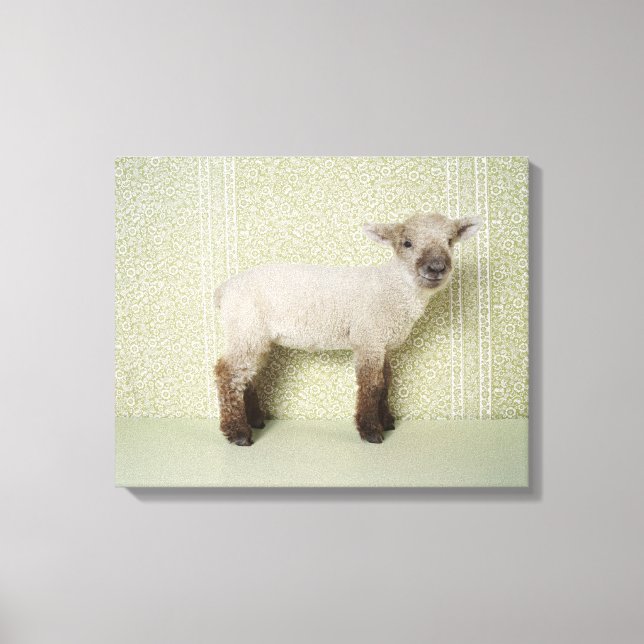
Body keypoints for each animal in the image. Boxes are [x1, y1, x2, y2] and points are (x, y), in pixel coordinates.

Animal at [214, 212, 480, 445]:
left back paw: (256, 419)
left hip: (256, 336)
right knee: (228, 373)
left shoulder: (382, 344)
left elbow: (386, 382)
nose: (436, 267)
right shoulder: (368, 338)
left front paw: (386, 421)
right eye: (407, 243)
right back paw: (238, 433)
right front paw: (371, 431)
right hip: (245, 327)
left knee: (247, 375)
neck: (394, 288)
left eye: (450, 241)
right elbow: (371, 385)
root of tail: (224, 289)